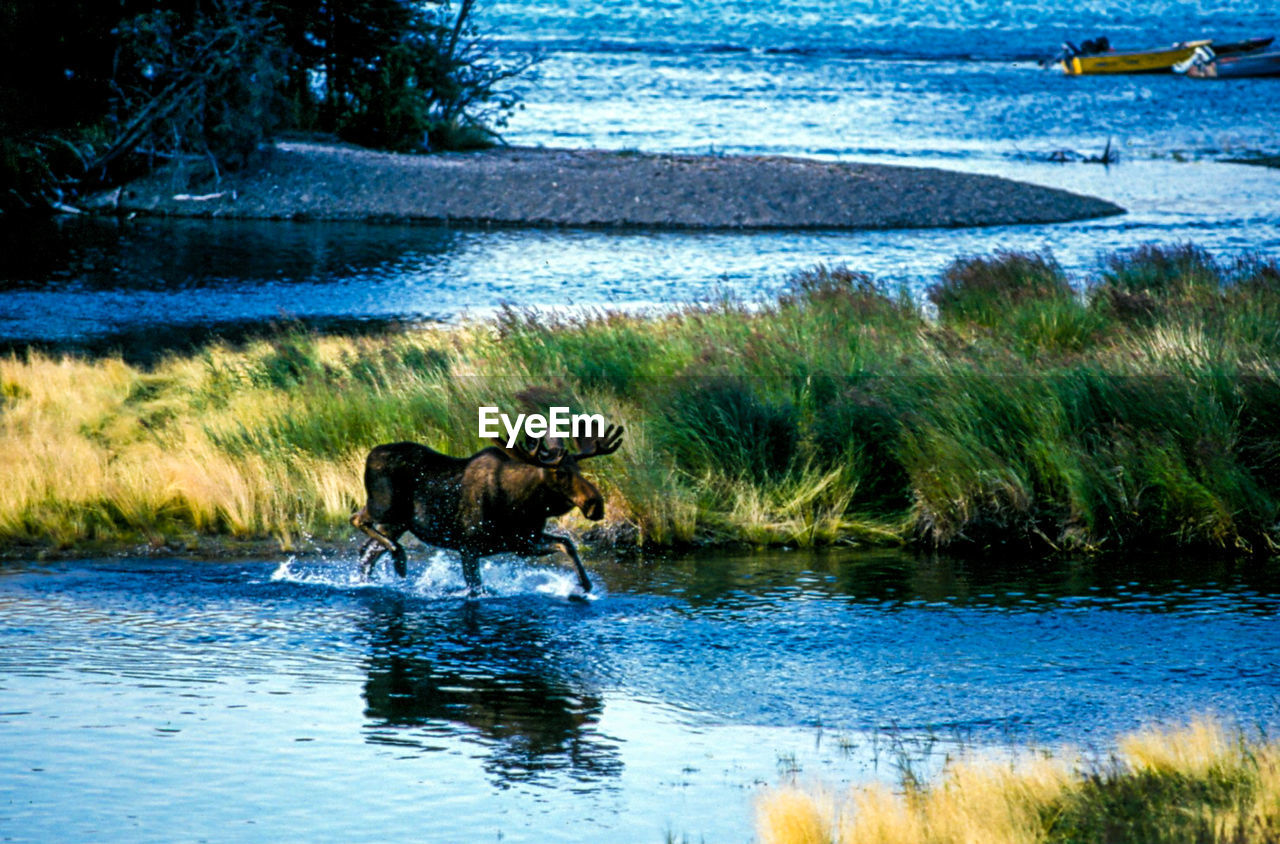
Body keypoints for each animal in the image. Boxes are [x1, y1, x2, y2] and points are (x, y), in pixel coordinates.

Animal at [350, 424, 623, 596]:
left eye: (578, 469)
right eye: (560, 472)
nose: (595, 504)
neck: (522, 506)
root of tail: (369, 454)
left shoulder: (523, 542)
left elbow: (566, 543)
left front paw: (585, 586)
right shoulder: (469, 546)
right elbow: (475, 589)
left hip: (397, 523)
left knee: (367, 552)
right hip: (383, 507)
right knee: (357, 520)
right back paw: (400, 560)